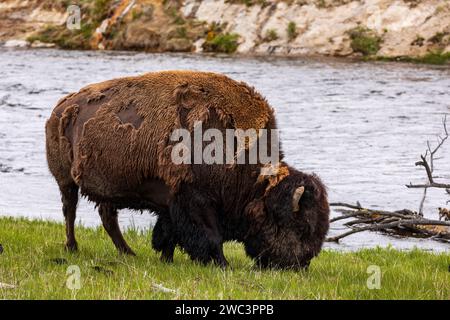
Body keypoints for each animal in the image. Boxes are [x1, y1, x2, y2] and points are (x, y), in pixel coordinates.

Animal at [45, 70, 328, 270]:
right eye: (300, 227)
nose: (299, 266)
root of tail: (60, 107)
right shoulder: (195, 201)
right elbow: (210, 237)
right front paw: (223, 265)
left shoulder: (172, 204)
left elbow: (168, 233)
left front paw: (166, 259)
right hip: (65, 180)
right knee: (70, 211)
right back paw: (72, 247)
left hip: (109, 188)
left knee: (107, 217)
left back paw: (128, 252)